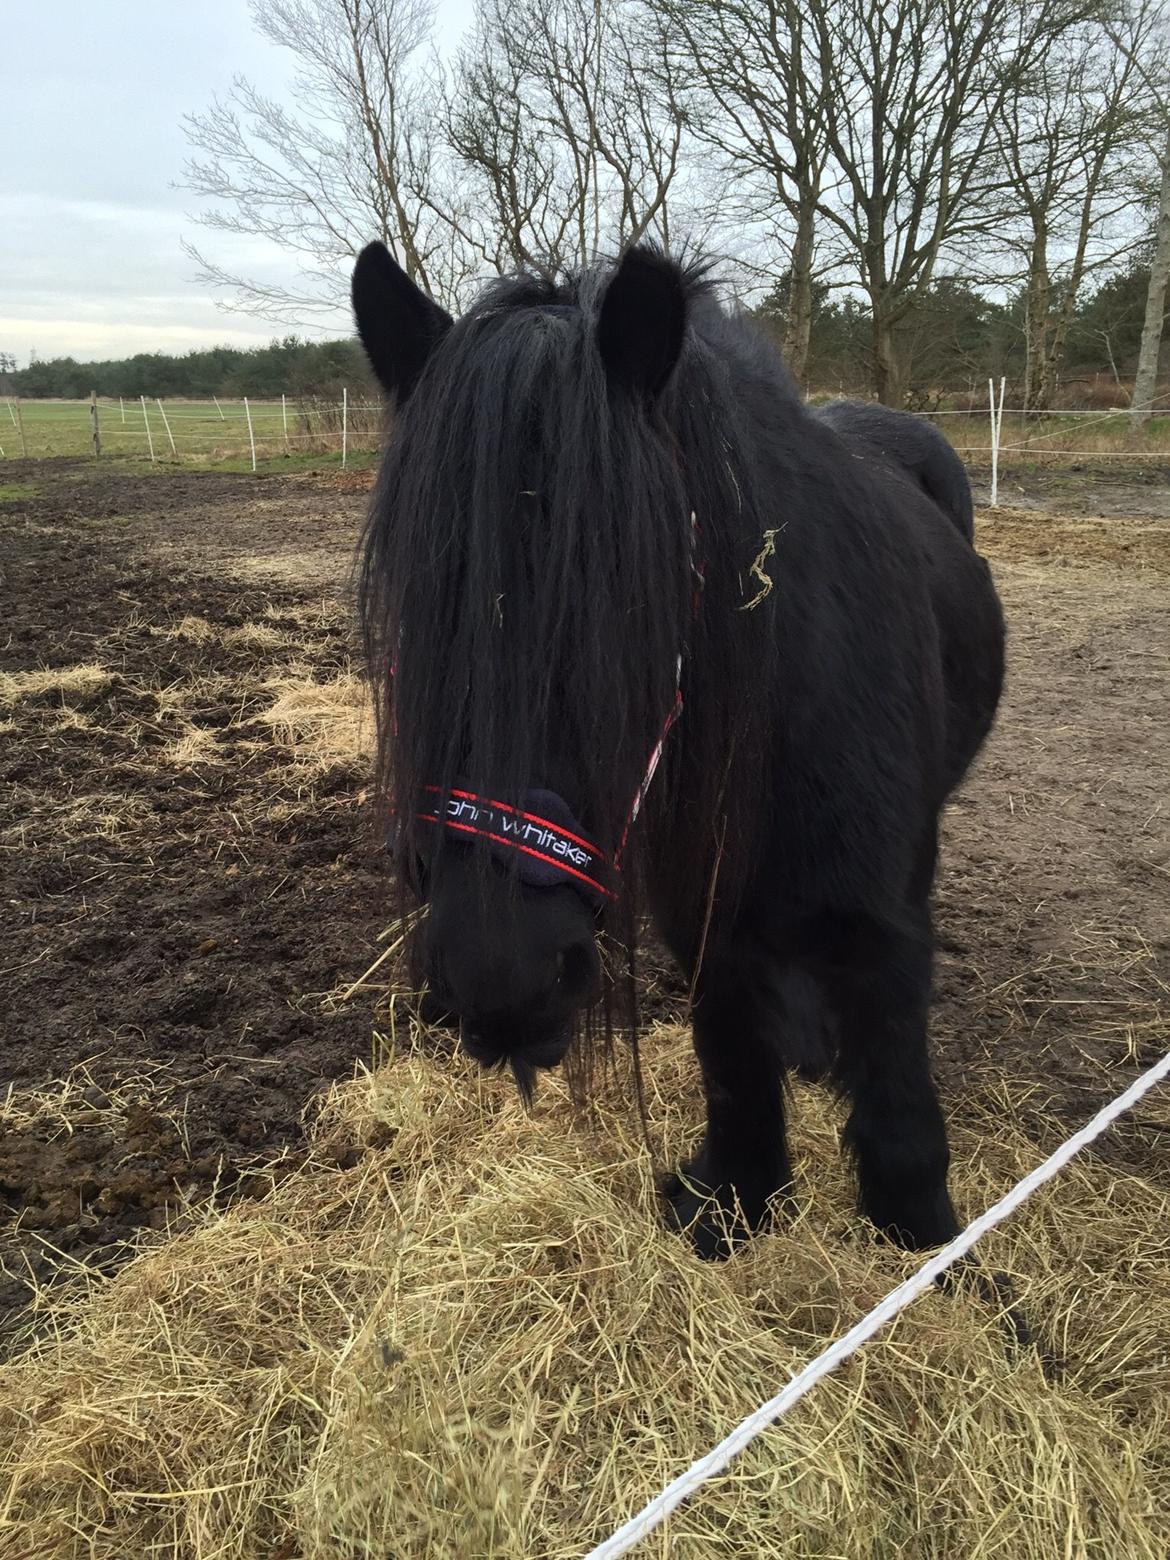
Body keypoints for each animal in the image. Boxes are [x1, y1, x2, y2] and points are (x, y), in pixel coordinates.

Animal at [355, 242, 1005, 1259]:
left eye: (635, 605)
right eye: (421, 608)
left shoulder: (882, 930)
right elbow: (732, 1063)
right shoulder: (703, 918)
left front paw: (931, 1253)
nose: (500, 977)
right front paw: (737, 1198)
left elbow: (900, 1117)